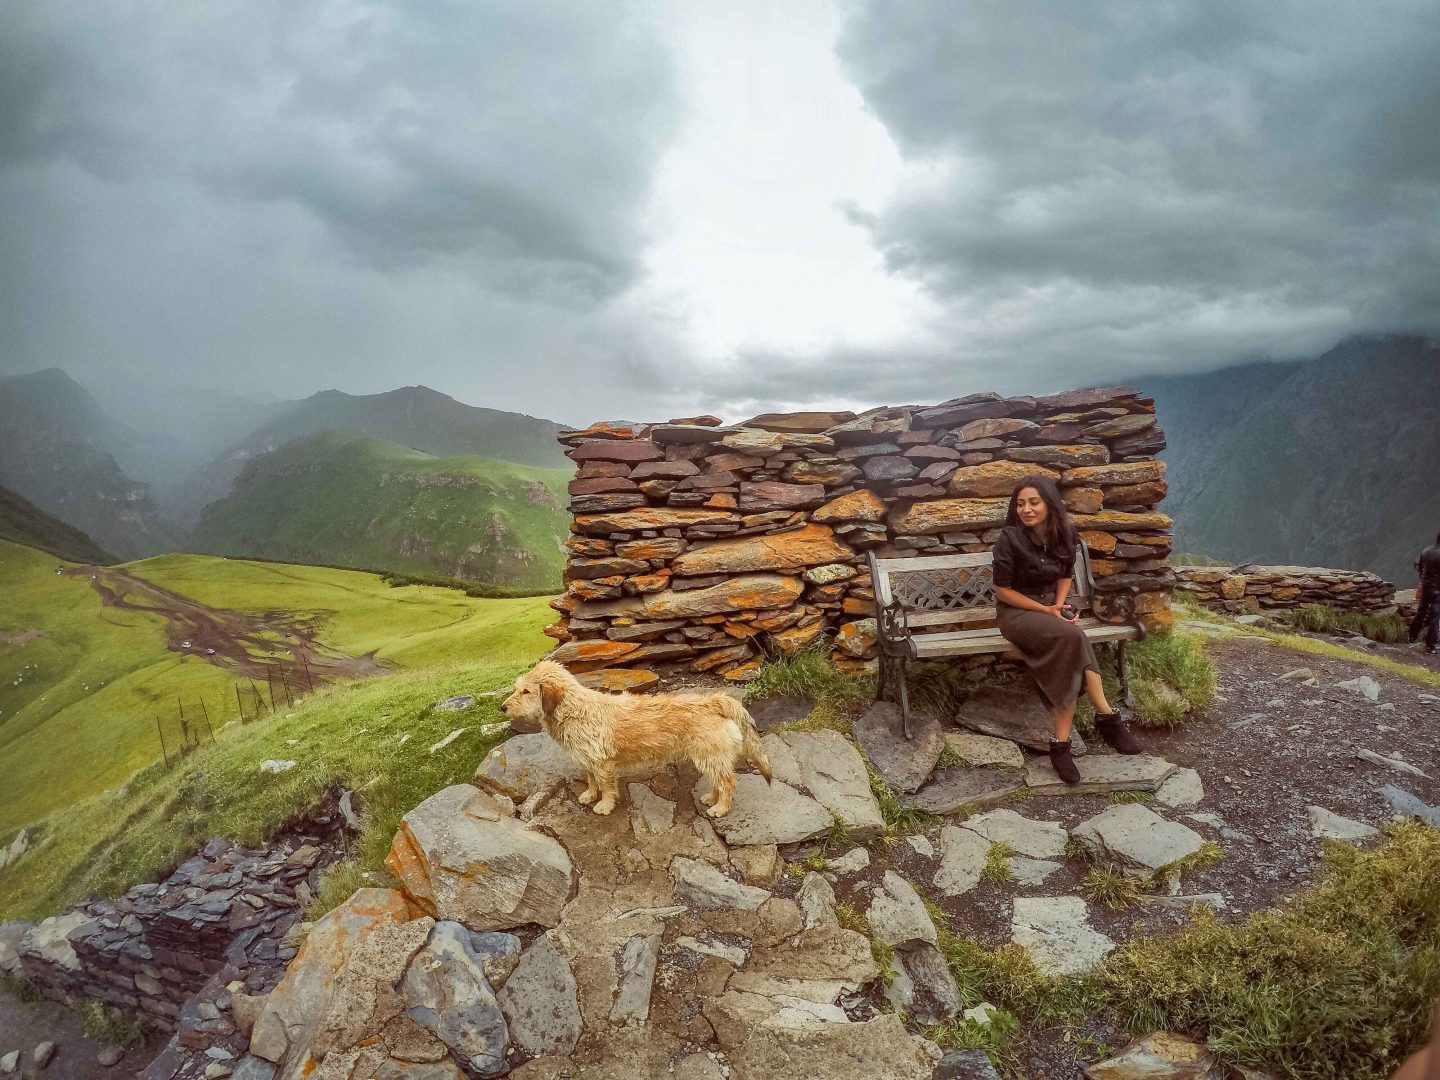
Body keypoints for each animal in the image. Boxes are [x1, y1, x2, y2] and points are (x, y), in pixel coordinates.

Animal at [506, 659, 777, 817]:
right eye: (518, 688)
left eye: (526, 691)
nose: (502, 707)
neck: (574, 710)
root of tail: (716, 700)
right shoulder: (588, 760)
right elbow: (591, 780)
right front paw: (589, 795)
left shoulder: (601, 763)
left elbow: (606, 786)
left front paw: (604, 805)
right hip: (710, 757)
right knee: (719, 781)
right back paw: (712, 798)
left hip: (710, 756)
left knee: (728, 783)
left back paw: (721, 808)